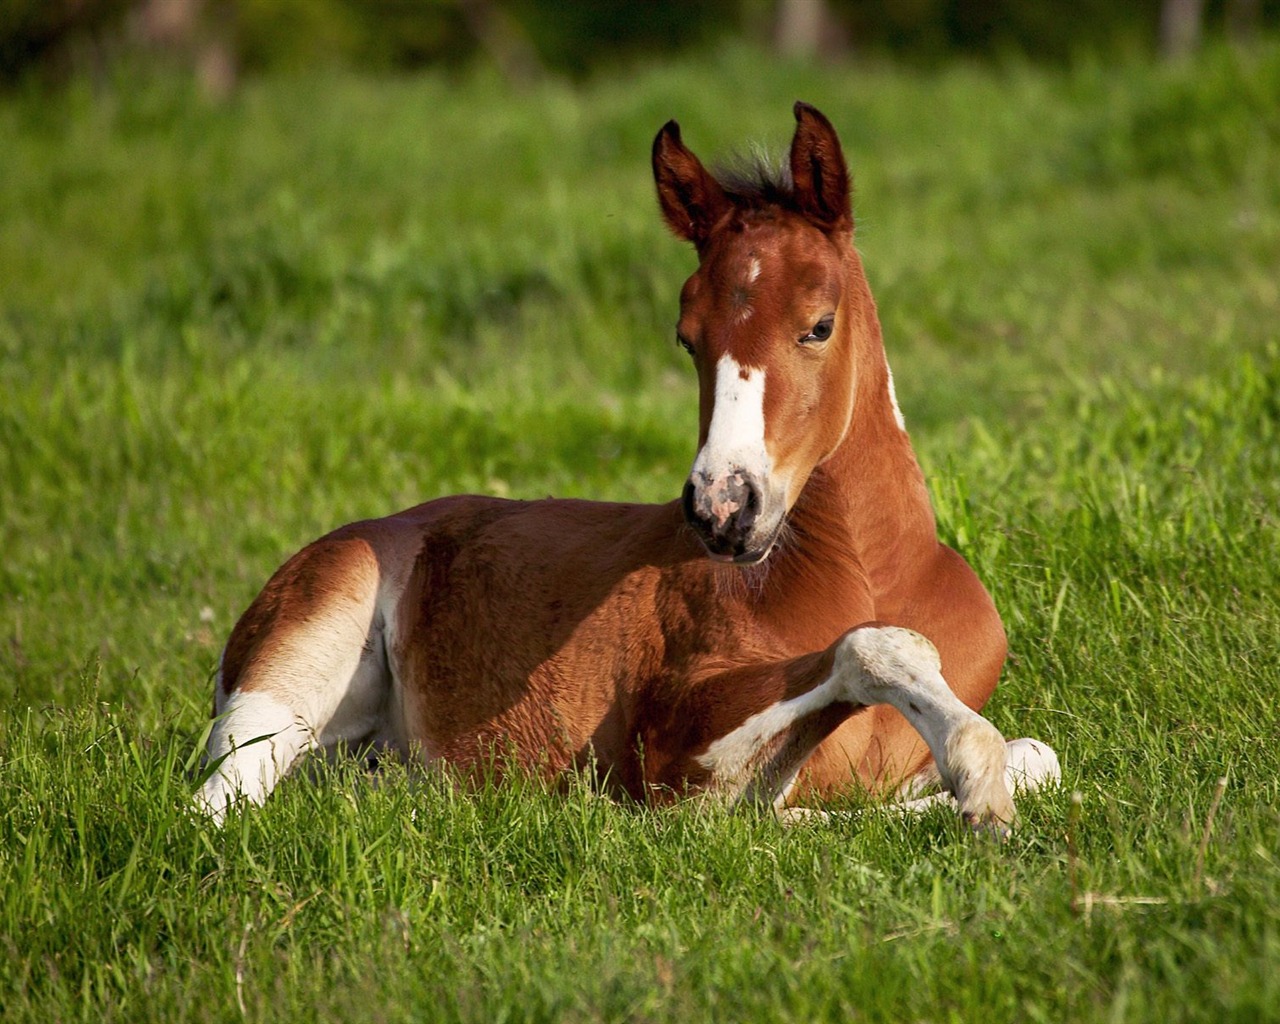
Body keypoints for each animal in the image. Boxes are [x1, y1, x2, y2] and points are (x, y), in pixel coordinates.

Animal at [194, 101, 1059, 824]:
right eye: (687, 337)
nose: (722, 507)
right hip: (293, 664)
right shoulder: (669, 750)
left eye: (819, 324)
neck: (872, 573)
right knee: (217, 803)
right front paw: (975, 782)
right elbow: (865, 661)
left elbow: (1040, 756)